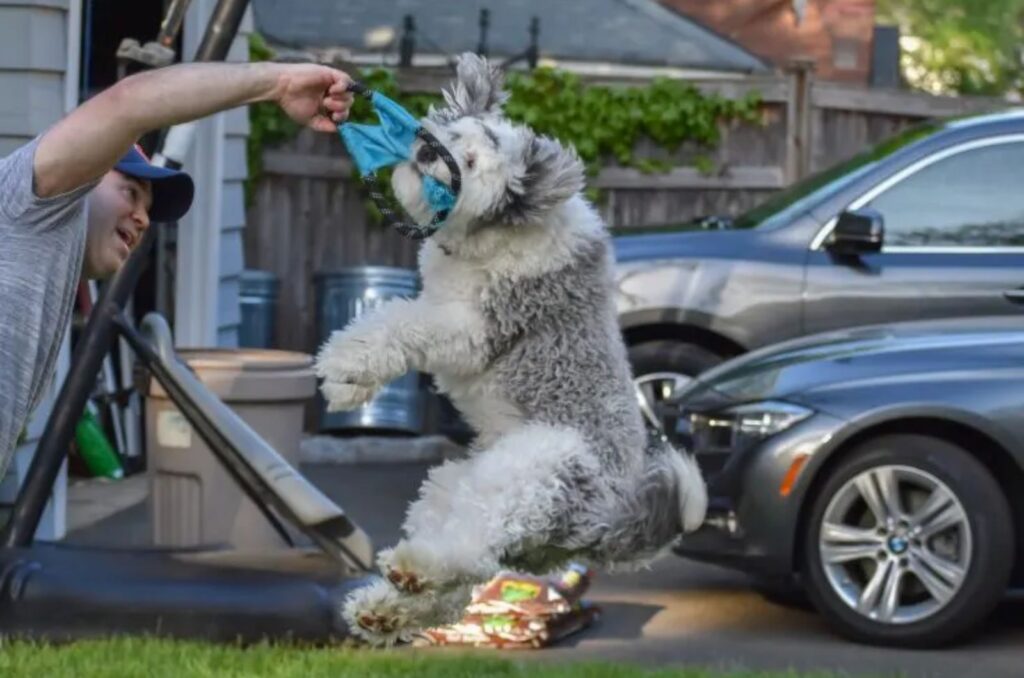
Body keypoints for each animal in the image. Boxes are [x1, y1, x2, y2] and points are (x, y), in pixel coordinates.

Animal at [315, 54, 708, 647]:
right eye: (449, 135)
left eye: (472, 160)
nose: (426, 151)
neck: (498, 228)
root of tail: (612, 521)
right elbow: (396, 320)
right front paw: (350, 378)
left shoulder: (472, 328)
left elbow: (402, 323)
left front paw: (344, 367)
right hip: (456, 485)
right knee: (462, 576)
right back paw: (385, 608)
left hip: (535, 467)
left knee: (470, 551)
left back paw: (413, 574)